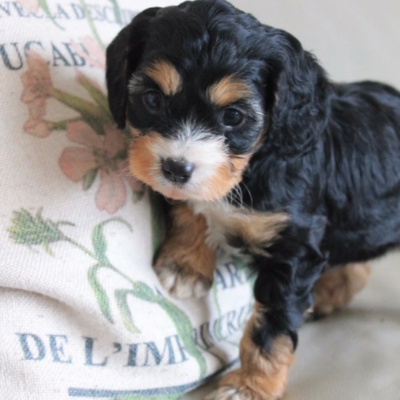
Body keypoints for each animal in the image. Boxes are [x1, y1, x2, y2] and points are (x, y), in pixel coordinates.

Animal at [106, 1, 400, 398]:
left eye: (233, 116)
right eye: (152, 100)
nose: (176, 168)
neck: (255, 165)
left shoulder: (294, 248)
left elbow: (269, 329)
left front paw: (249, 386)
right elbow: (191, 207)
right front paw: (185, 265)